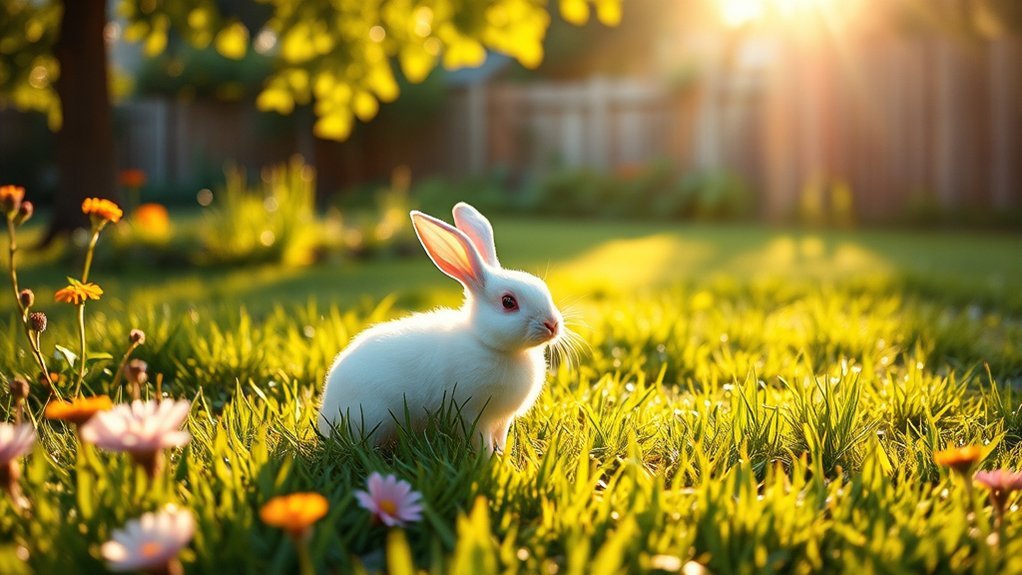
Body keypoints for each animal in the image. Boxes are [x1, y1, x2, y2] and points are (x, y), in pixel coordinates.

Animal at [317, 202, 564, 453]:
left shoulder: (502, 421)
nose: (552, 325)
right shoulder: (473, 416)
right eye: (508, 302)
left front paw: (503, 456)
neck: (488, 344)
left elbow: (500, 438)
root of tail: (327, 413)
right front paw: (488, 458)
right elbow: (481, 441)